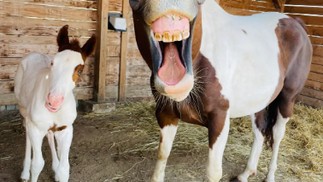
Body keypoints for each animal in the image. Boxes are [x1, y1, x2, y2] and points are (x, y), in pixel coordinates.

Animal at [14, 24, 96, 182]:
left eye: (80, 69)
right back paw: (25, 173)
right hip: (24, 111)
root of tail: (32, 54)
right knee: (28, 134)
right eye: (52, 63)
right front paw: (31, 172)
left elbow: (65, 170)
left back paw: (55, 166)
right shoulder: (36, 127)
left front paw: (59, 171)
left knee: (50, 134)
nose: (53, 101)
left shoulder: (66, 129)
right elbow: (37, 164)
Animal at [130, 0, 314, 181]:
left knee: (277, 135)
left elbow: (213, 172)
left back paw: (269, 176)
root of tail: (295, 22)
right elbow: (162, 156)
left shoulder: (219, 120)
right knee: (260, 131)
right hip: (258, 102)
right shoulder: (166, 114)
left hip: (287, 99)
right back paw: (246, 173)